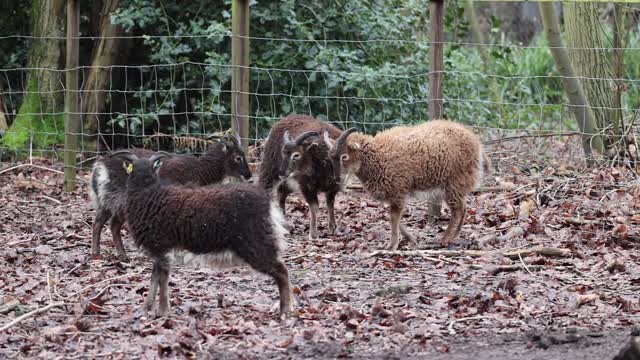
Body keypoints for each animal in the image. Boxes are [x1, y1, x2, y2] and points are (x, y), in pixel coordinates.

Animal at [90, 135, 250, 262]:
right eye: (238, 157)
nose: (249, 175)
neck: (202, 171)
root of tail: (99, 166)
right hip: (119, 199)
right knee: (111, 224)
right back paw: (118, 255)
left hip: (106, 199)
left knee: (100, 222)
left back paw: (100, 254)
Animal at [110, 150, 292, 320]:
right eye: (133, 169)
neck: (148, 194)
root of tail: (268, 205)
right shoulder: (160, 250)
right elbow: (154, 278)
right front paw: (146, 308)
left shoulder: (161, 246)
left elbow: (162, 278)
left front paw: (162, 311)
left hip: (255, 243)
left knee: (282, 271)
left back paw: (285, 311)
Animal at [324, 119, 490, 249]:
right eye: (330, 158)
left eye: (344, 156)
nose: (336, 179)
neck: (378, 155)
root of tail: (477, 143)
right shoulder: (393, 193)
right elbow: (394, 217)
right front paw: (410, 239)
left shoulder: (398, 190)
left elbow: (394, 217)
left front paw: (392, 245)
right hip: (455, 185)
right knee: (463, 207)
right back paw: (454, 236)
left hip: (456, 181)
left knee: (457, 209)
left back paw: (444, 239)